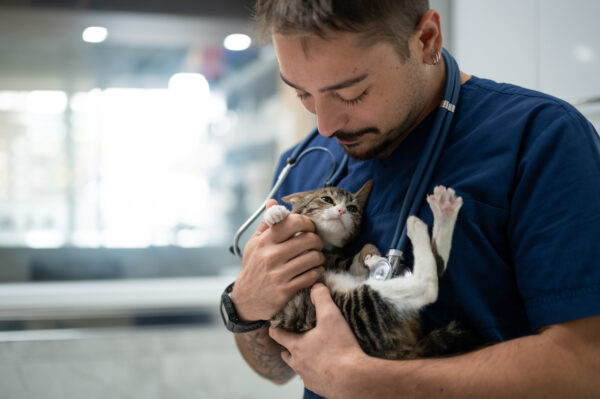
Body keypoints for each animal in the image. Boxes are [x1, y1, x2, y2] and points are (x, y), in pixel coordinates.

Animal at [264, 180, 480, 360]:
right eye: (326, 199)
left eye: (352, 208)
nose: (341, 210)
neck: (324, 246)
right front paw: (275, 213)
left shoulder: (339, 262)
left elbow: (357, 260)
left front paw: (370, 255)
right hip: (363, 308)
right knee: (427, 284)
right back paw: (431, 217)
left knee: (428, 282)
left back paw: (438, 214)